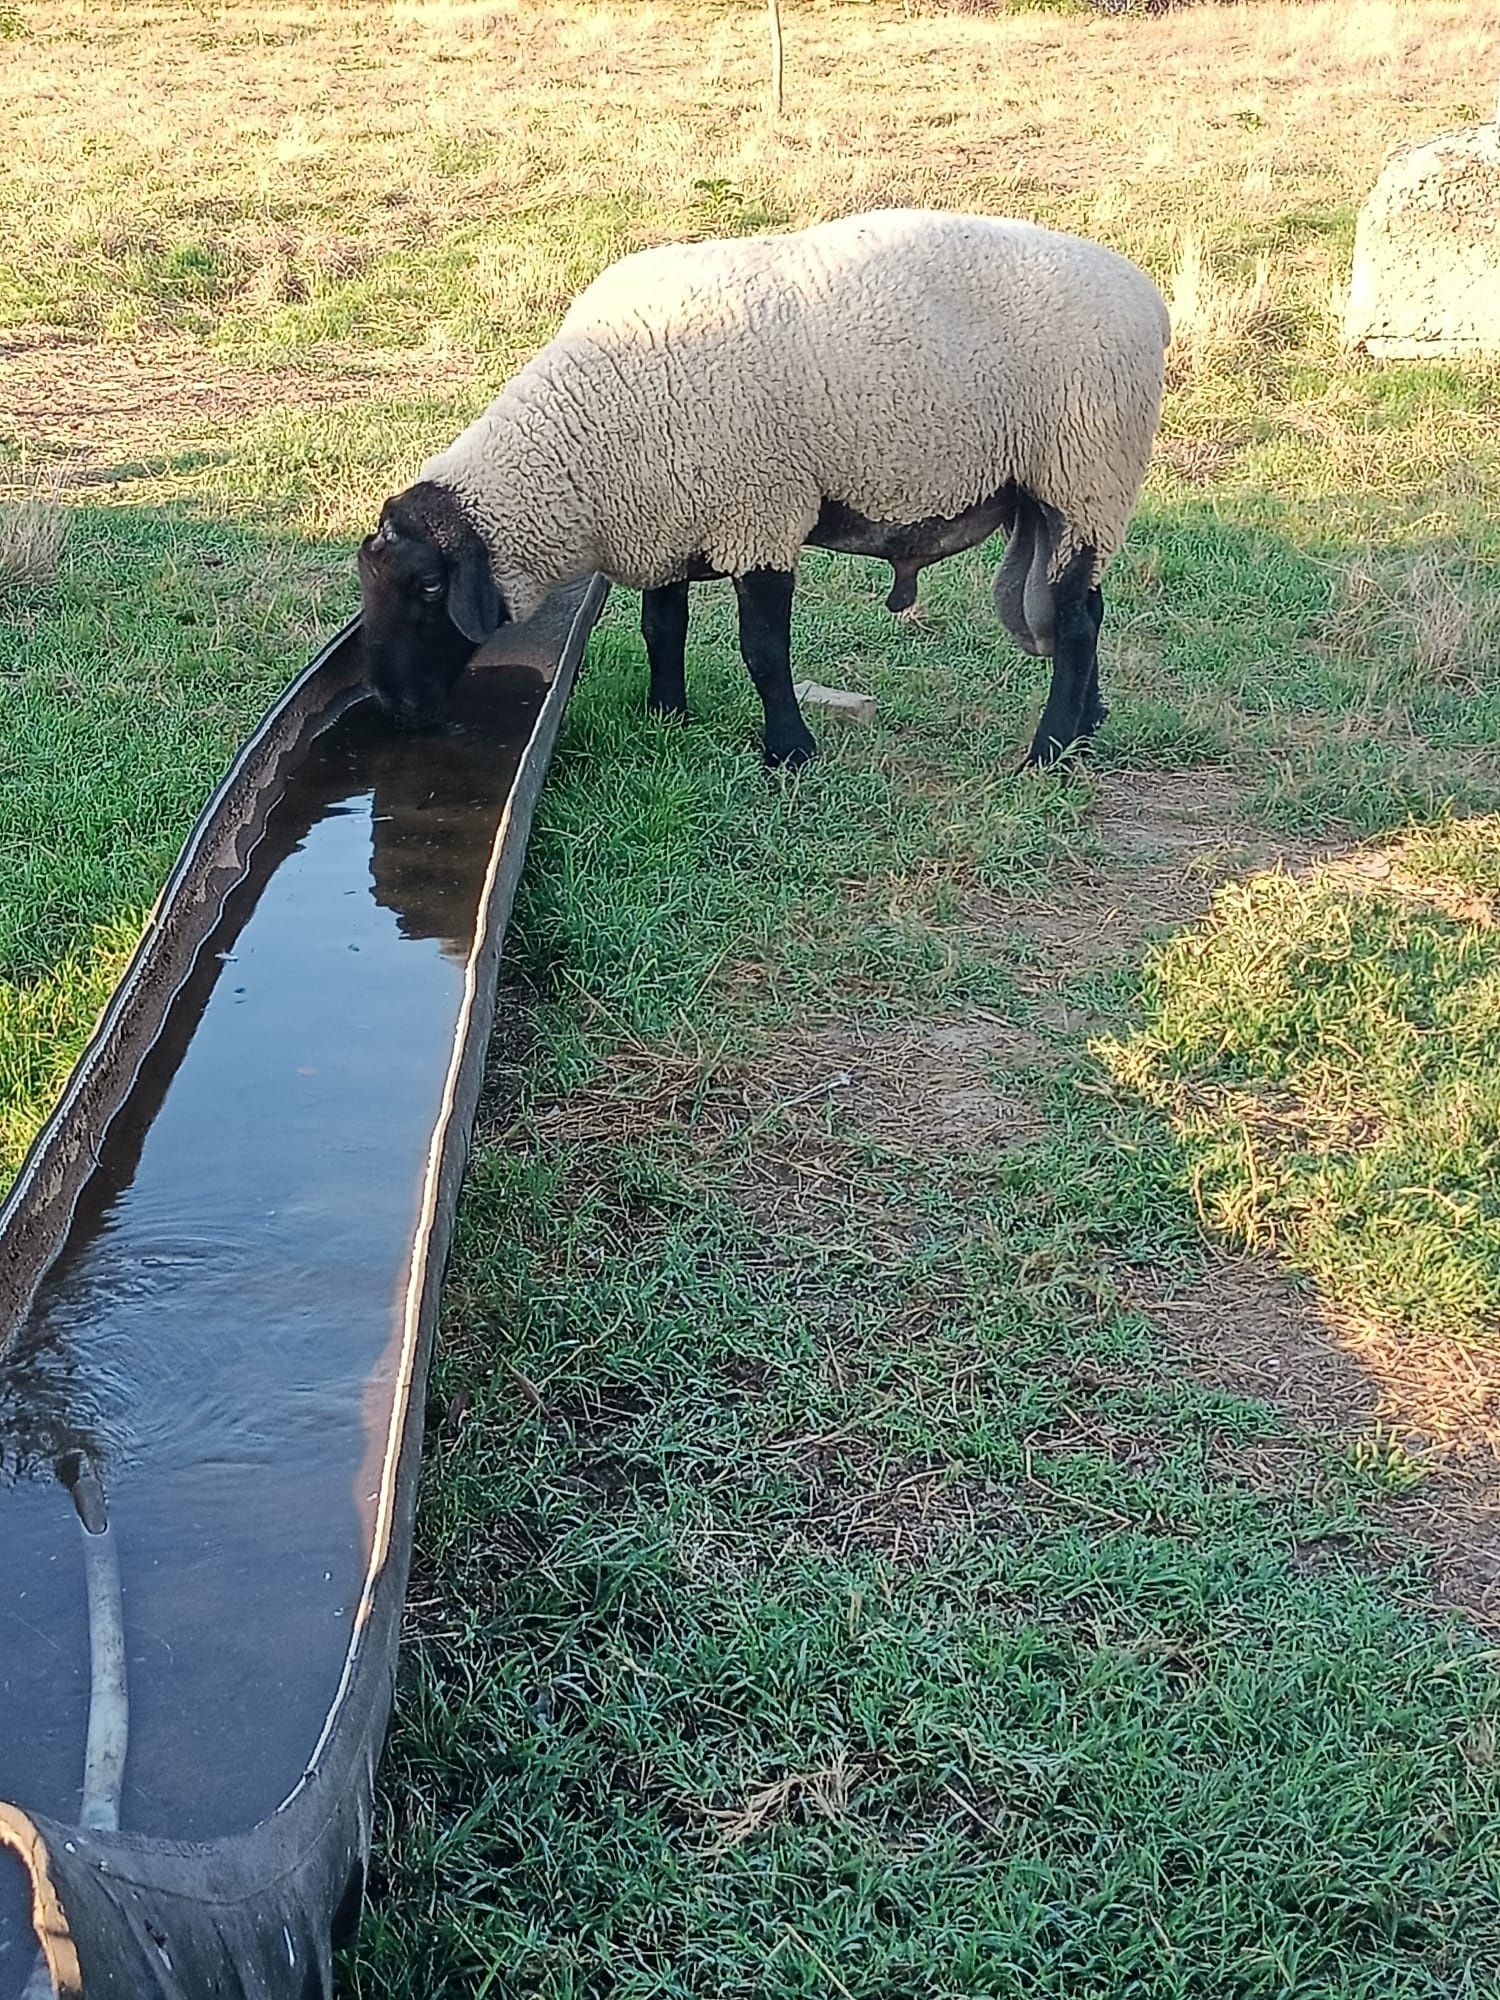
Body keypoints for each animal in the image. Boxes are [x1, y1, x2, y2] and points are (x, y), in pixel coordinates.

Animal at [358, 205, 1168, 764]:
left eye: (429, 589)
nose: (392, 708)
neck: (586, 440)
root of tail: (1149, 299)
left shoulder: (760, 517)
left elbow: (764, 652)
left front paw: (789, 752)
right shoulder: (665, 521)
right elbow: (663, 630)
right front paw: (667, 716)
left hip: (1086, 475)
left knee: (1074, 622)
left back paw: (1049, 752)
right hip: (1059, 498)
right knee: (1085, 609)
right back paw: (1087, 724)